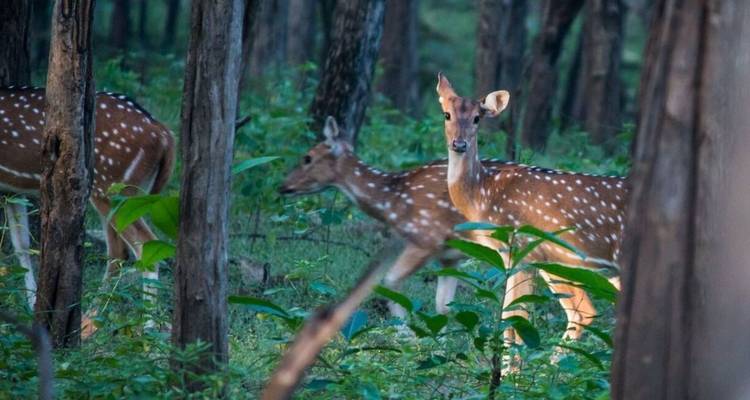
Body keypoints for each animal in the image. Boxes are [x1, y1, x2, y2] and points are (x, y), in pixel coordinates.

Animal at [0, 85, 174, 321]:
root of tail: (163, 133)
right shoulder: (11, 191)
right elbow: (22, 245)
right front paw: (32, 306)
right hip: (130, 192)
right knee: (119, 252)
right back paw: (91, 318)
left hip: (112, 187)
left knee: (143, 245)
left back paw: (145, 325)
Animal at [279, 116, 595, 339]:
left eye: (307, 157)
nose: (284, 186)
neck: (393, 200)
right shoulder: (449, 256)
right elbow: (443, 305)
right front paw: (440, 345)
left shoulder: (425, 238)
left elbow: (390, 283)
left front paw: (407, 336)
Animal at [434, 73, 628, 342]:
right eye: (447, 114)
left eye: (476, 118)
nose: (459, 144)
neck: (483, 195)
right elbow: (511, 314)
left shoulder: (520, 246)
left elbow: (513, 316)